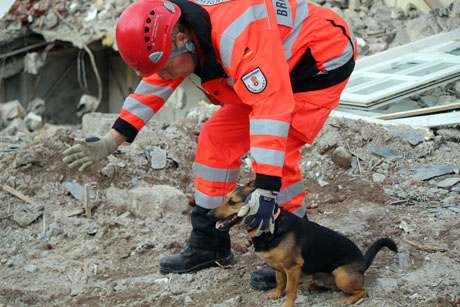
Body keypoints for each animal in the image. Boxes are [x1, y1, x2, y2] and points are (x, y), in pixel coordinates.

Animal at [210, 183, 398, 307]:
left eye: (232, 202)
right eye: (225, 199)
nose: (209, 214)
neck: (272, 225)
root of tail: (363, 262)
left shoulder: (292, 268)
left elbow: (290, 290)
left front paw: (287, 304)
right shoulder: (279, 267)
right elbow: (280, 282)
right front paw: (277, 294)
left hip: (341, 275)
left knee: (363, 291)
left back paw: (349, 299)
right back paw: (314, 286)